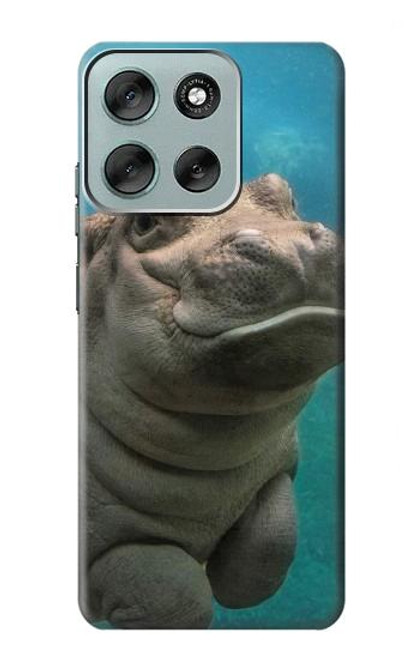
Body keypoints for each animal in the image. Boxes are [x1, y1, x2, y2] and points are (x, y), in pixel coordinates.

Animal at [79, 173, 343, 629]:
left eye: (285, 193)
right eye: (145, 221)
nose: (296, 244)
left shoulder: (273, 469)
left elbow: (272, 539)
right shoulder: (104, 539)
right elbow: (177, 596)